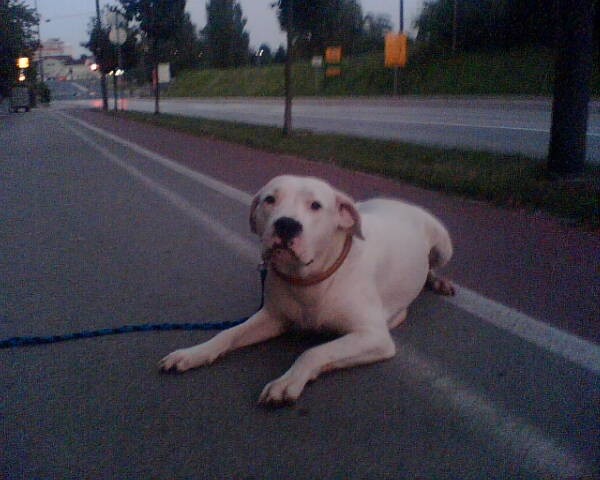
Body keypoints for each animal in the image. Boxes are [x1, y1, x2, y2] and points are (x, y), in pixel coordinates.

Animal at [161, 175, 454, 404]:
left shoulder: (373, 337)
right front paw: (194, 353)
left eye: (315, 205)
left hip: (443, 247)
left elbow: (314, 351)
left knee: (432, 264)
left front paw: (286, 381)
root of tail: (399, 202)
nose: (286, 224)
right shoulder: (273, 318)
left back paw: (438, 282)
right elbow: (228, 333)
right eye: (270, 199)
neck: (309, 280)